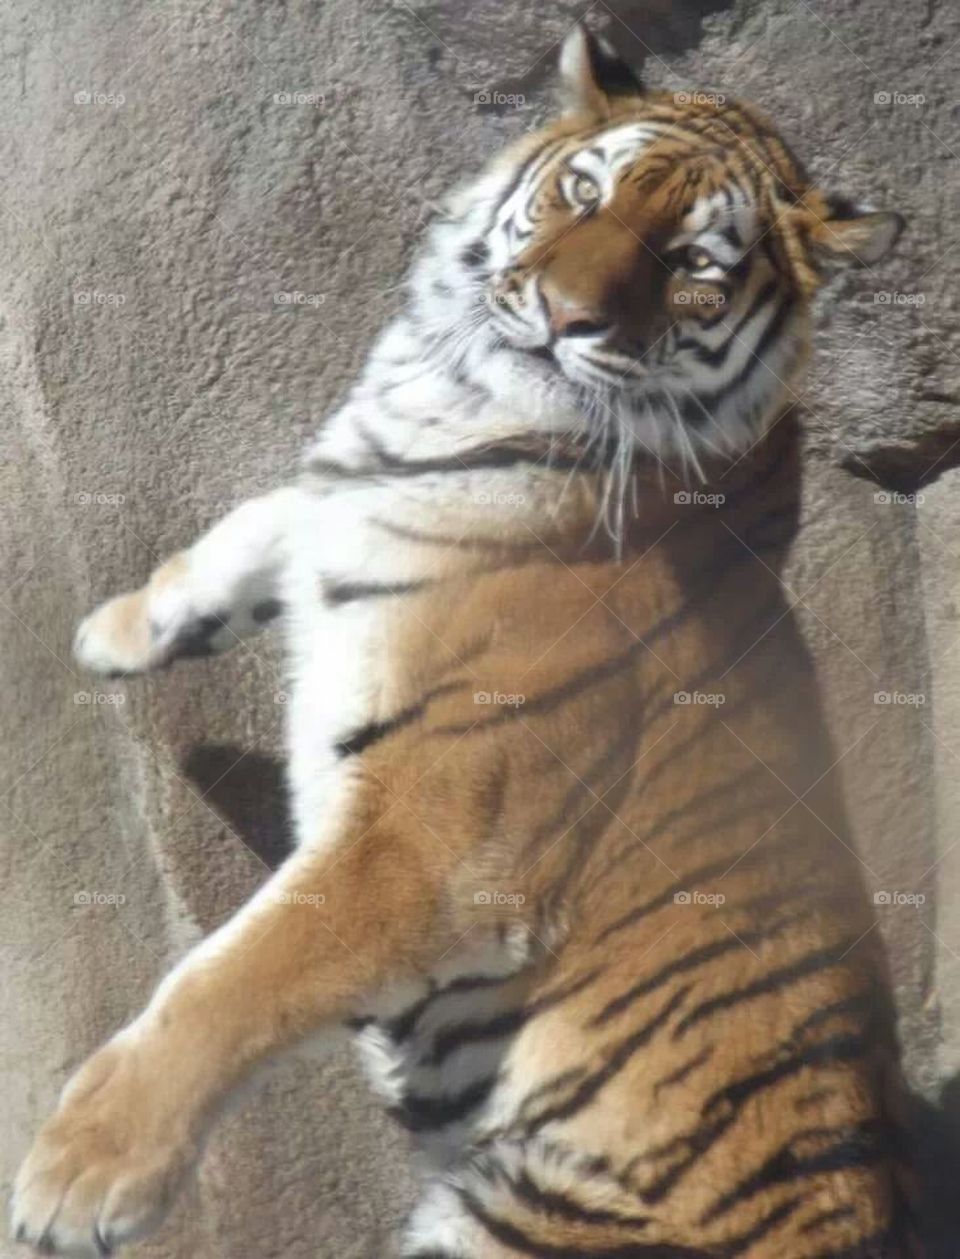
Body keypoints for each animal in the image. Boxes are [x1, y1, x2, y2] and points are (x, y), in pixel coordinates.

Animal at [12, 23, 916, 1259]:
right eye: (585, 193)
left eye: (695, 265)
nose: (566, 314)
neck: (455, 409)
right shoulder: (357, 484)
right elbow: (259, 519)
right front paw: (117, 633)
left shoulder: (428, 848)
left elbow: (229, 979)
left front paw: (79, 1175)